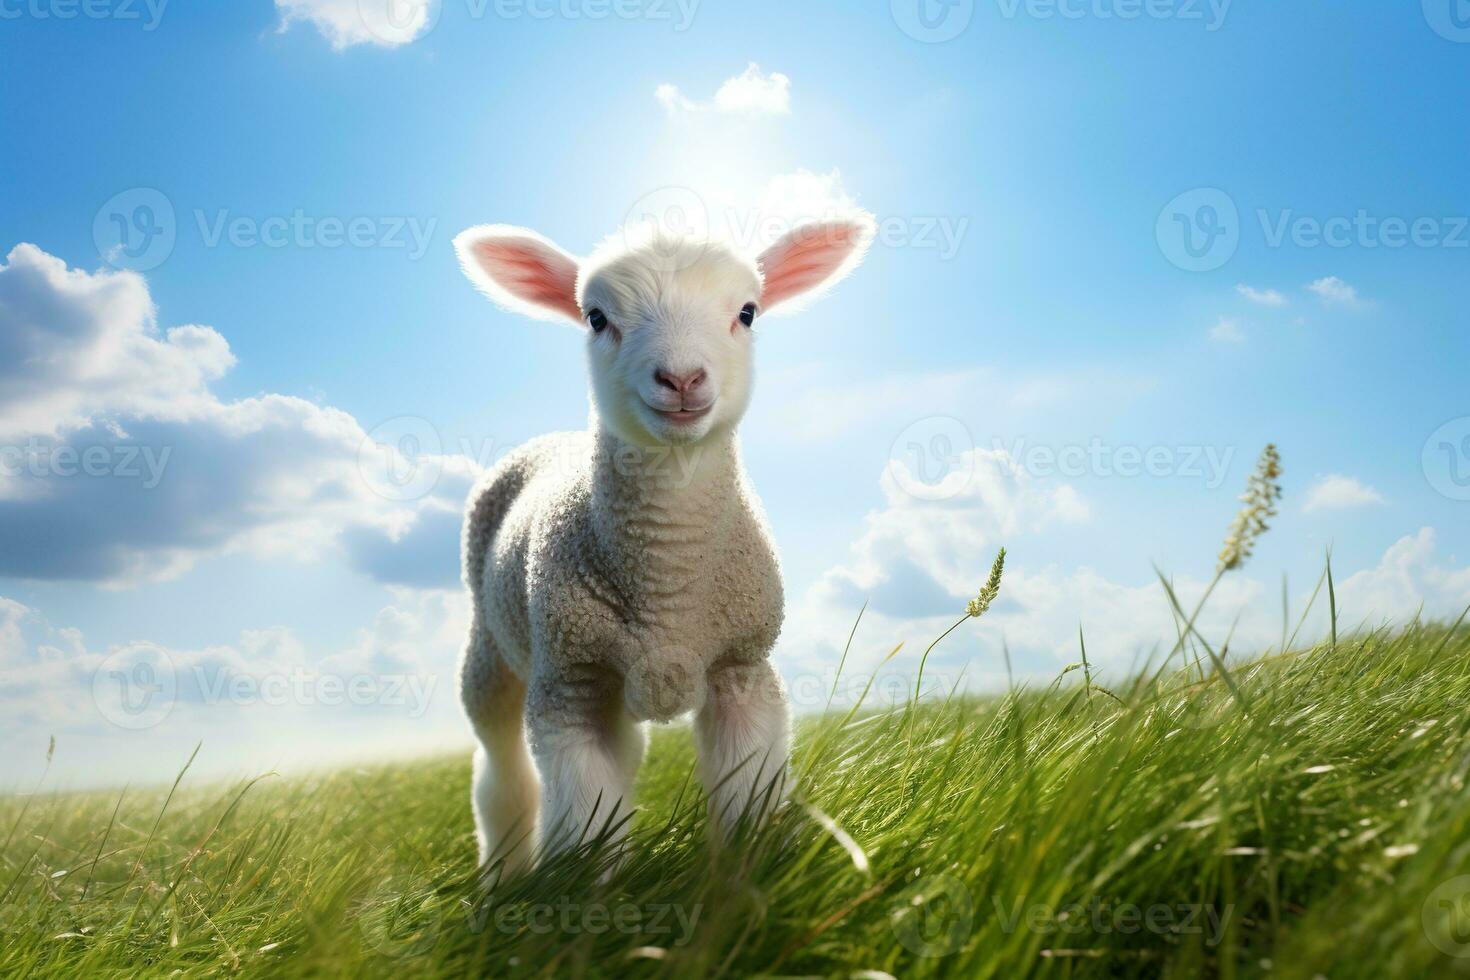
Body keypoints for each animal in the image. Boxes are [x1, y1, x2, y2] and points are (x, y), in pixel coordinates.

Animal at [452, 213, 870, 875]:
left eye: (747, 311)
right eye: (596, 317)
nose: (681, 379)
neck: (667, 584)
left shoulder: (742, 668)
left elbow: (746, 801)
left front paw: (744, 884)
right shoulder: (567, 683)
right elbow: (585, 823)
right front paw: (587, 895)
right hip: (492, 651)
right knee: (499, 771)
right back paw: (503, 876)